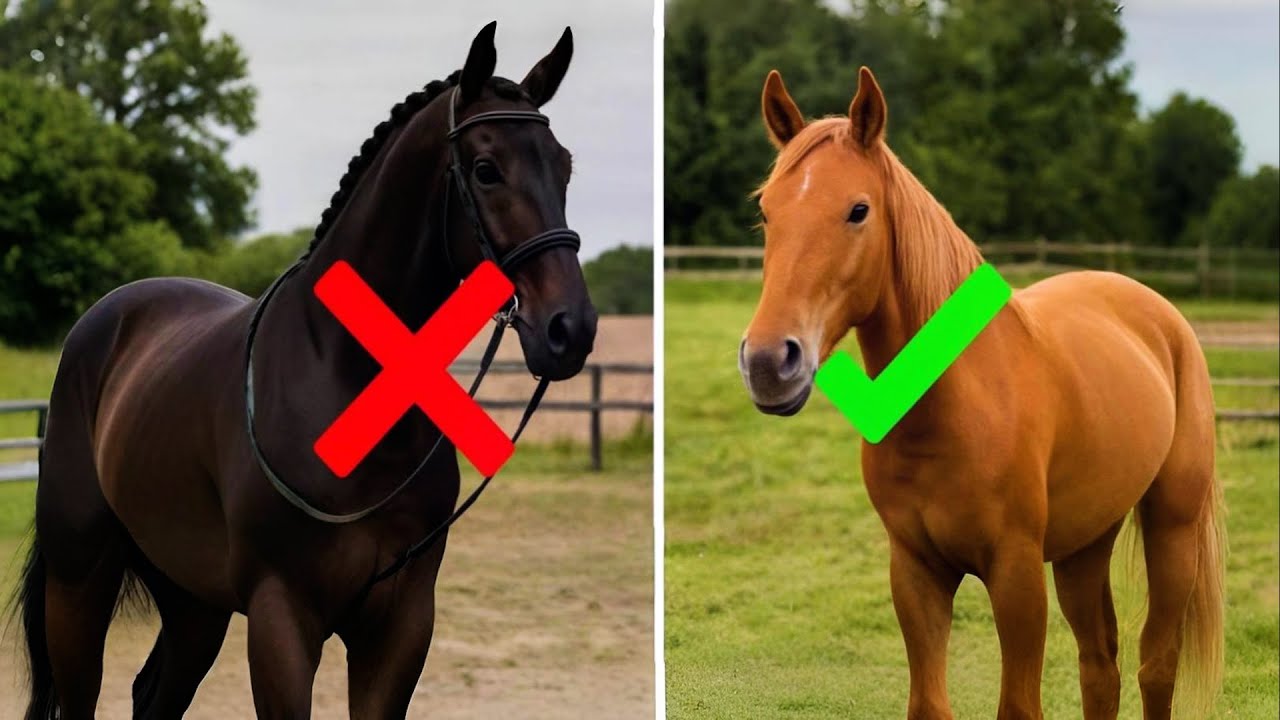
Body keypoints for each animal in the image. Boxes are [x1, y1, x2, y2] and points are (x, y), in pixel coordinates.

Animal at [14, 21, 597, 719]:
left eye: (564, 166)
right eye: (487, 170)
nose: (570, 328)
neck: (343, 380)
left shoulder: (400, 625)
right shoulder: (281, 618)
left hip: (193, 601)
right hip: (79, 581)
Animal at [738, 67, 1223, 720]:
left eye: (858, 210)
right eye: (767, 212)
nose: (769, 362)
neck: (953, 412)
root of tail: (1157, 312)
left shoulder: (1015, 575)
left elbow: (1019, 705)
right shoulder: (916, 574)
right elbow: (929, 703)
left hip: (1172, 530)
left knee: (1156, 665)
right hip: (1084, 547)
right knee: (1101, 667)